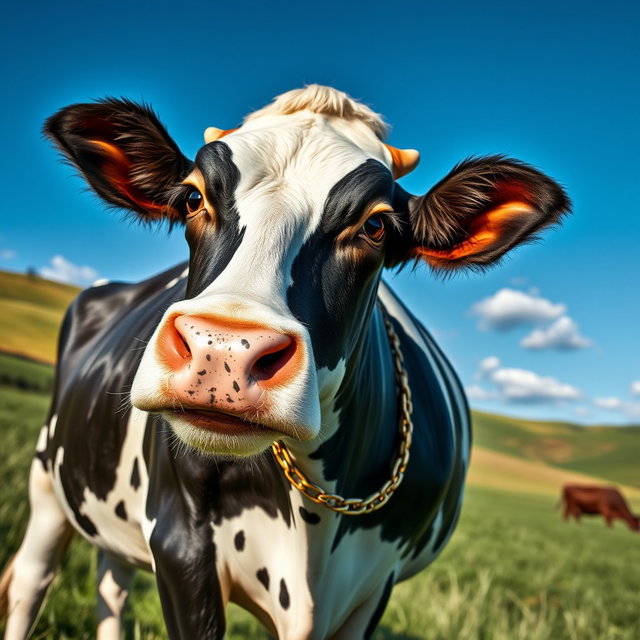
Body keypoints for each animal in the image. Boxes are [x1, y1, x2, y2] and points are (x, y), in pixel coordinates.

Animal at [1, 85, 570, 639]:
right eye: (193, 198)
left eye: (377, 226)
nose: (222, 351)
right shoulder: (179, 543)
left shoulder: (373, 588)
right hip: (46, 482)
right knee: (33, 581)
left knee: (111, 585)